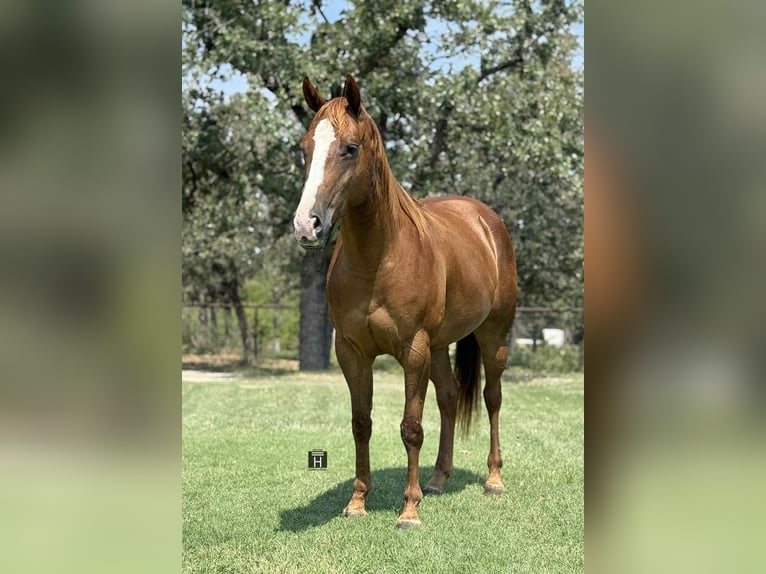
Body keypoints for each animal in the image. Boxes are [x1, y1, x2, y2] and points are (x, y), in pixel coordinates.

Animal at [292, 75, 518, 528]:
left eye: (350, 148)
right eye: (305, 148)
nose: (307, 225)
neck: (379, 257)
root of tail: (486, 220)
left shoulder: (413, 351)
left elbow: (411, 426)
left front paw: (409, 509)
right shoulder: (352, 351)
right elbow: (361, 423)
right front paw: (357, 501)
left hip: (493, 336)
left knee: (492, 399)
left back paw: (493, 479)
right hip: (440, 345)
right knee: (449, 398)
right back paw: (439, 479)